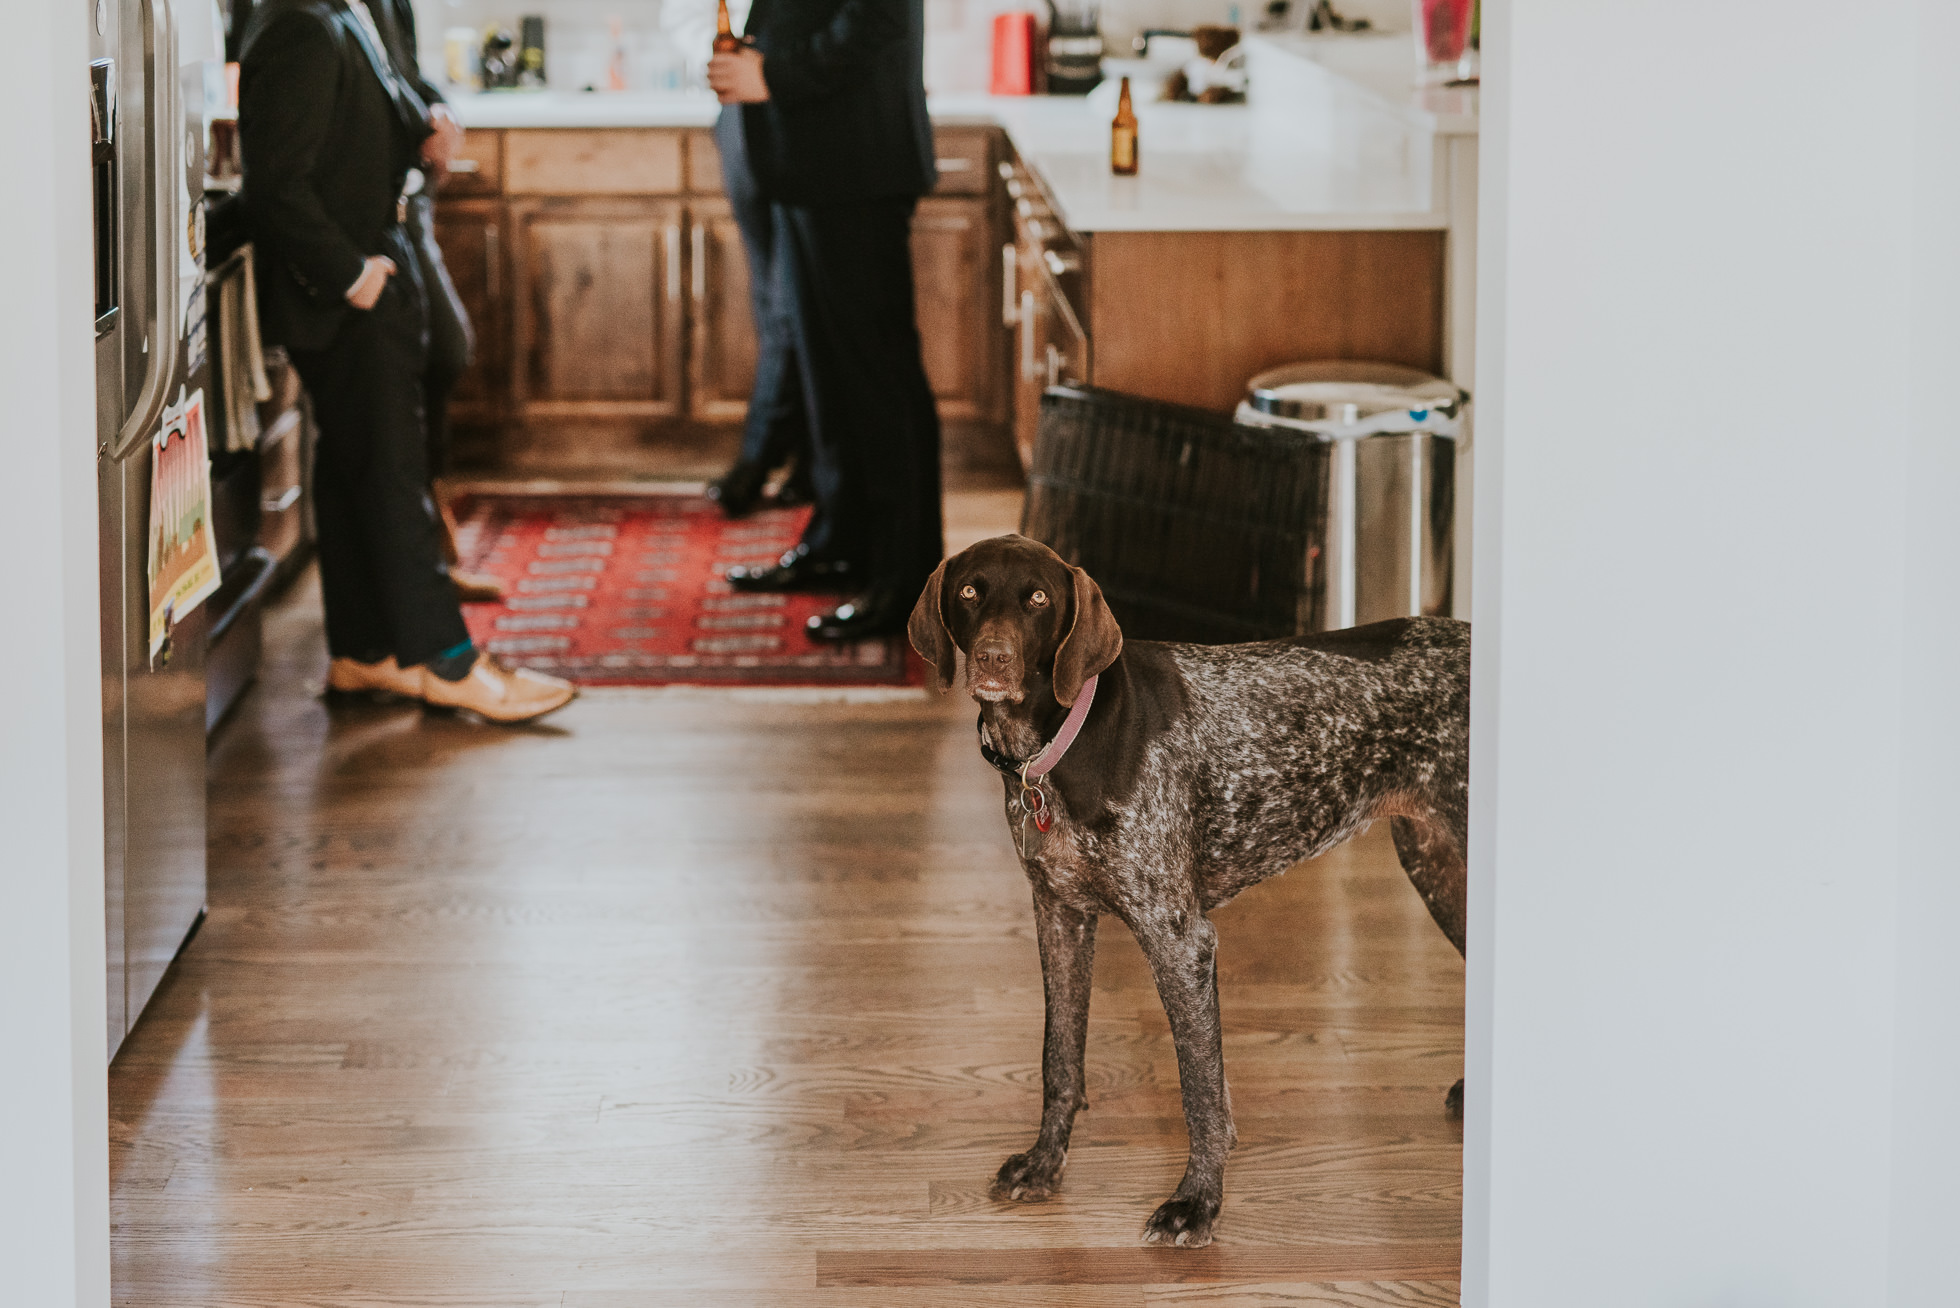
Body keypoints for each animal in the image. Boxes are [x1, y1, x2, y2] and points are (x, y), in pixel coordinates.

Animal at [905, 533, 1473, 1247]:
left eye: (1037, 598)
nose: (993, 658)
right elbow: (1059, 1060)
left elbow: (1200, 1087)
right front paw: (1043, 1164)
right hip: (1438, 868)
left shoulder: (1180, 939)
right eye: (969, 592)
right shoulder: (1059, 915)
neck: (1060, 746)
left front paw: (1198, 1202)